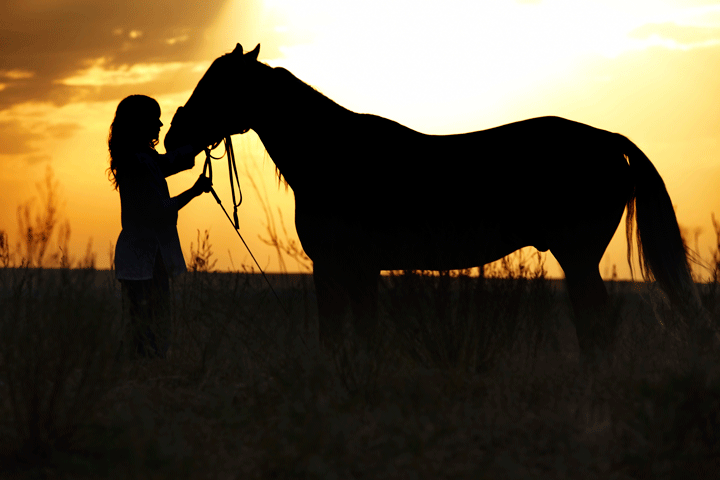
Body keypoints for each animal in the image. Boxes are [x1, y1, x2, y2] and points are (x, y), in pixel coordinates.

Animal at [165, 43, 704, 360]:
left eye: (218, 84)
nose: (174, 137)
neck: (336, 154)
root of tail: (608, 140)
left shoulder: (346, 266)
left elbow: (348, 337)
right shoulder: (350, 269)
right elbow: (350, 336)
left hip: (578, 258)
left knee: (596, 330)